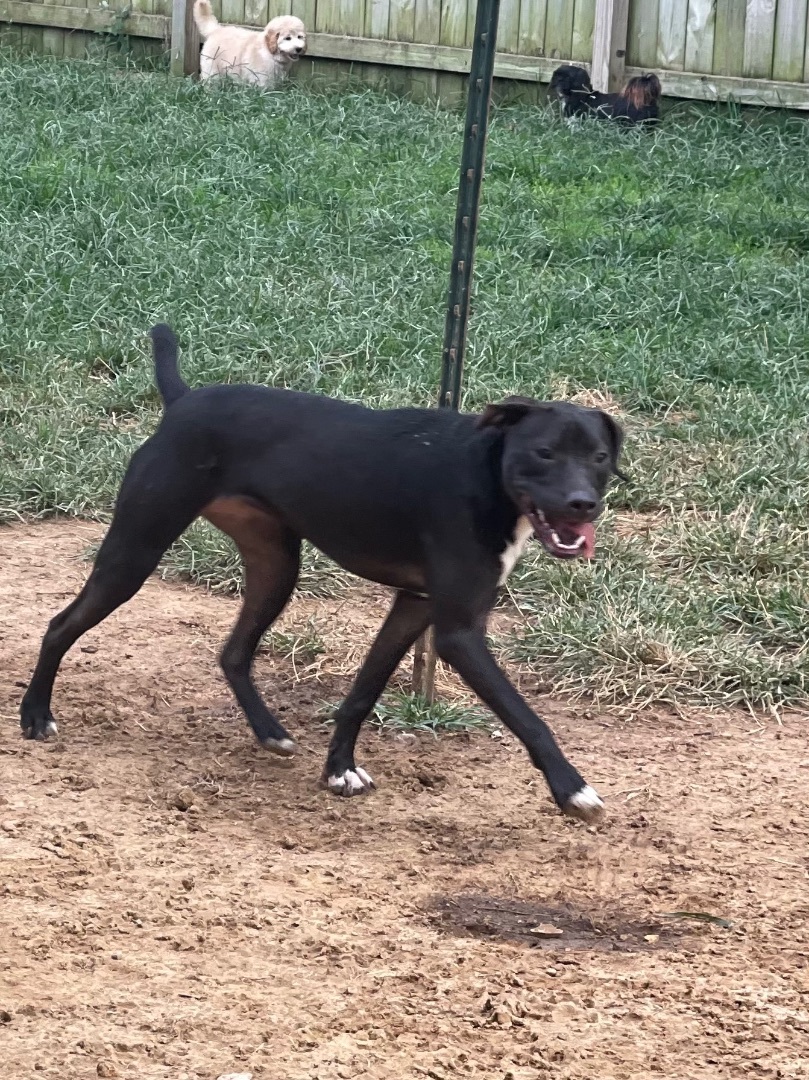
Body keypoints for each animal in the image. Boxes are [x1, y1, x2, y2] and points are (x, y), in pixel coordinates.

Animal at [18, 324, 626, 820]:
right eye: (543, 453)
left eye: (598, 458)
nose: (583, 504)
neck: (488, 475)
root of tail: (184, 401)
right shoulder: (458, 633)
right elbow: (526, 716)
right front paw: (573, 790)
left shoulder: (414, 605)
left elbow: (363, 690)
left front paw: (339, 769)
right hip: (135, 552)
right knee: (60, 625)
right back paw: (35, 715)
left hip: (276, 566)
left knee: (233, 653)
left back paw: (270, 733)